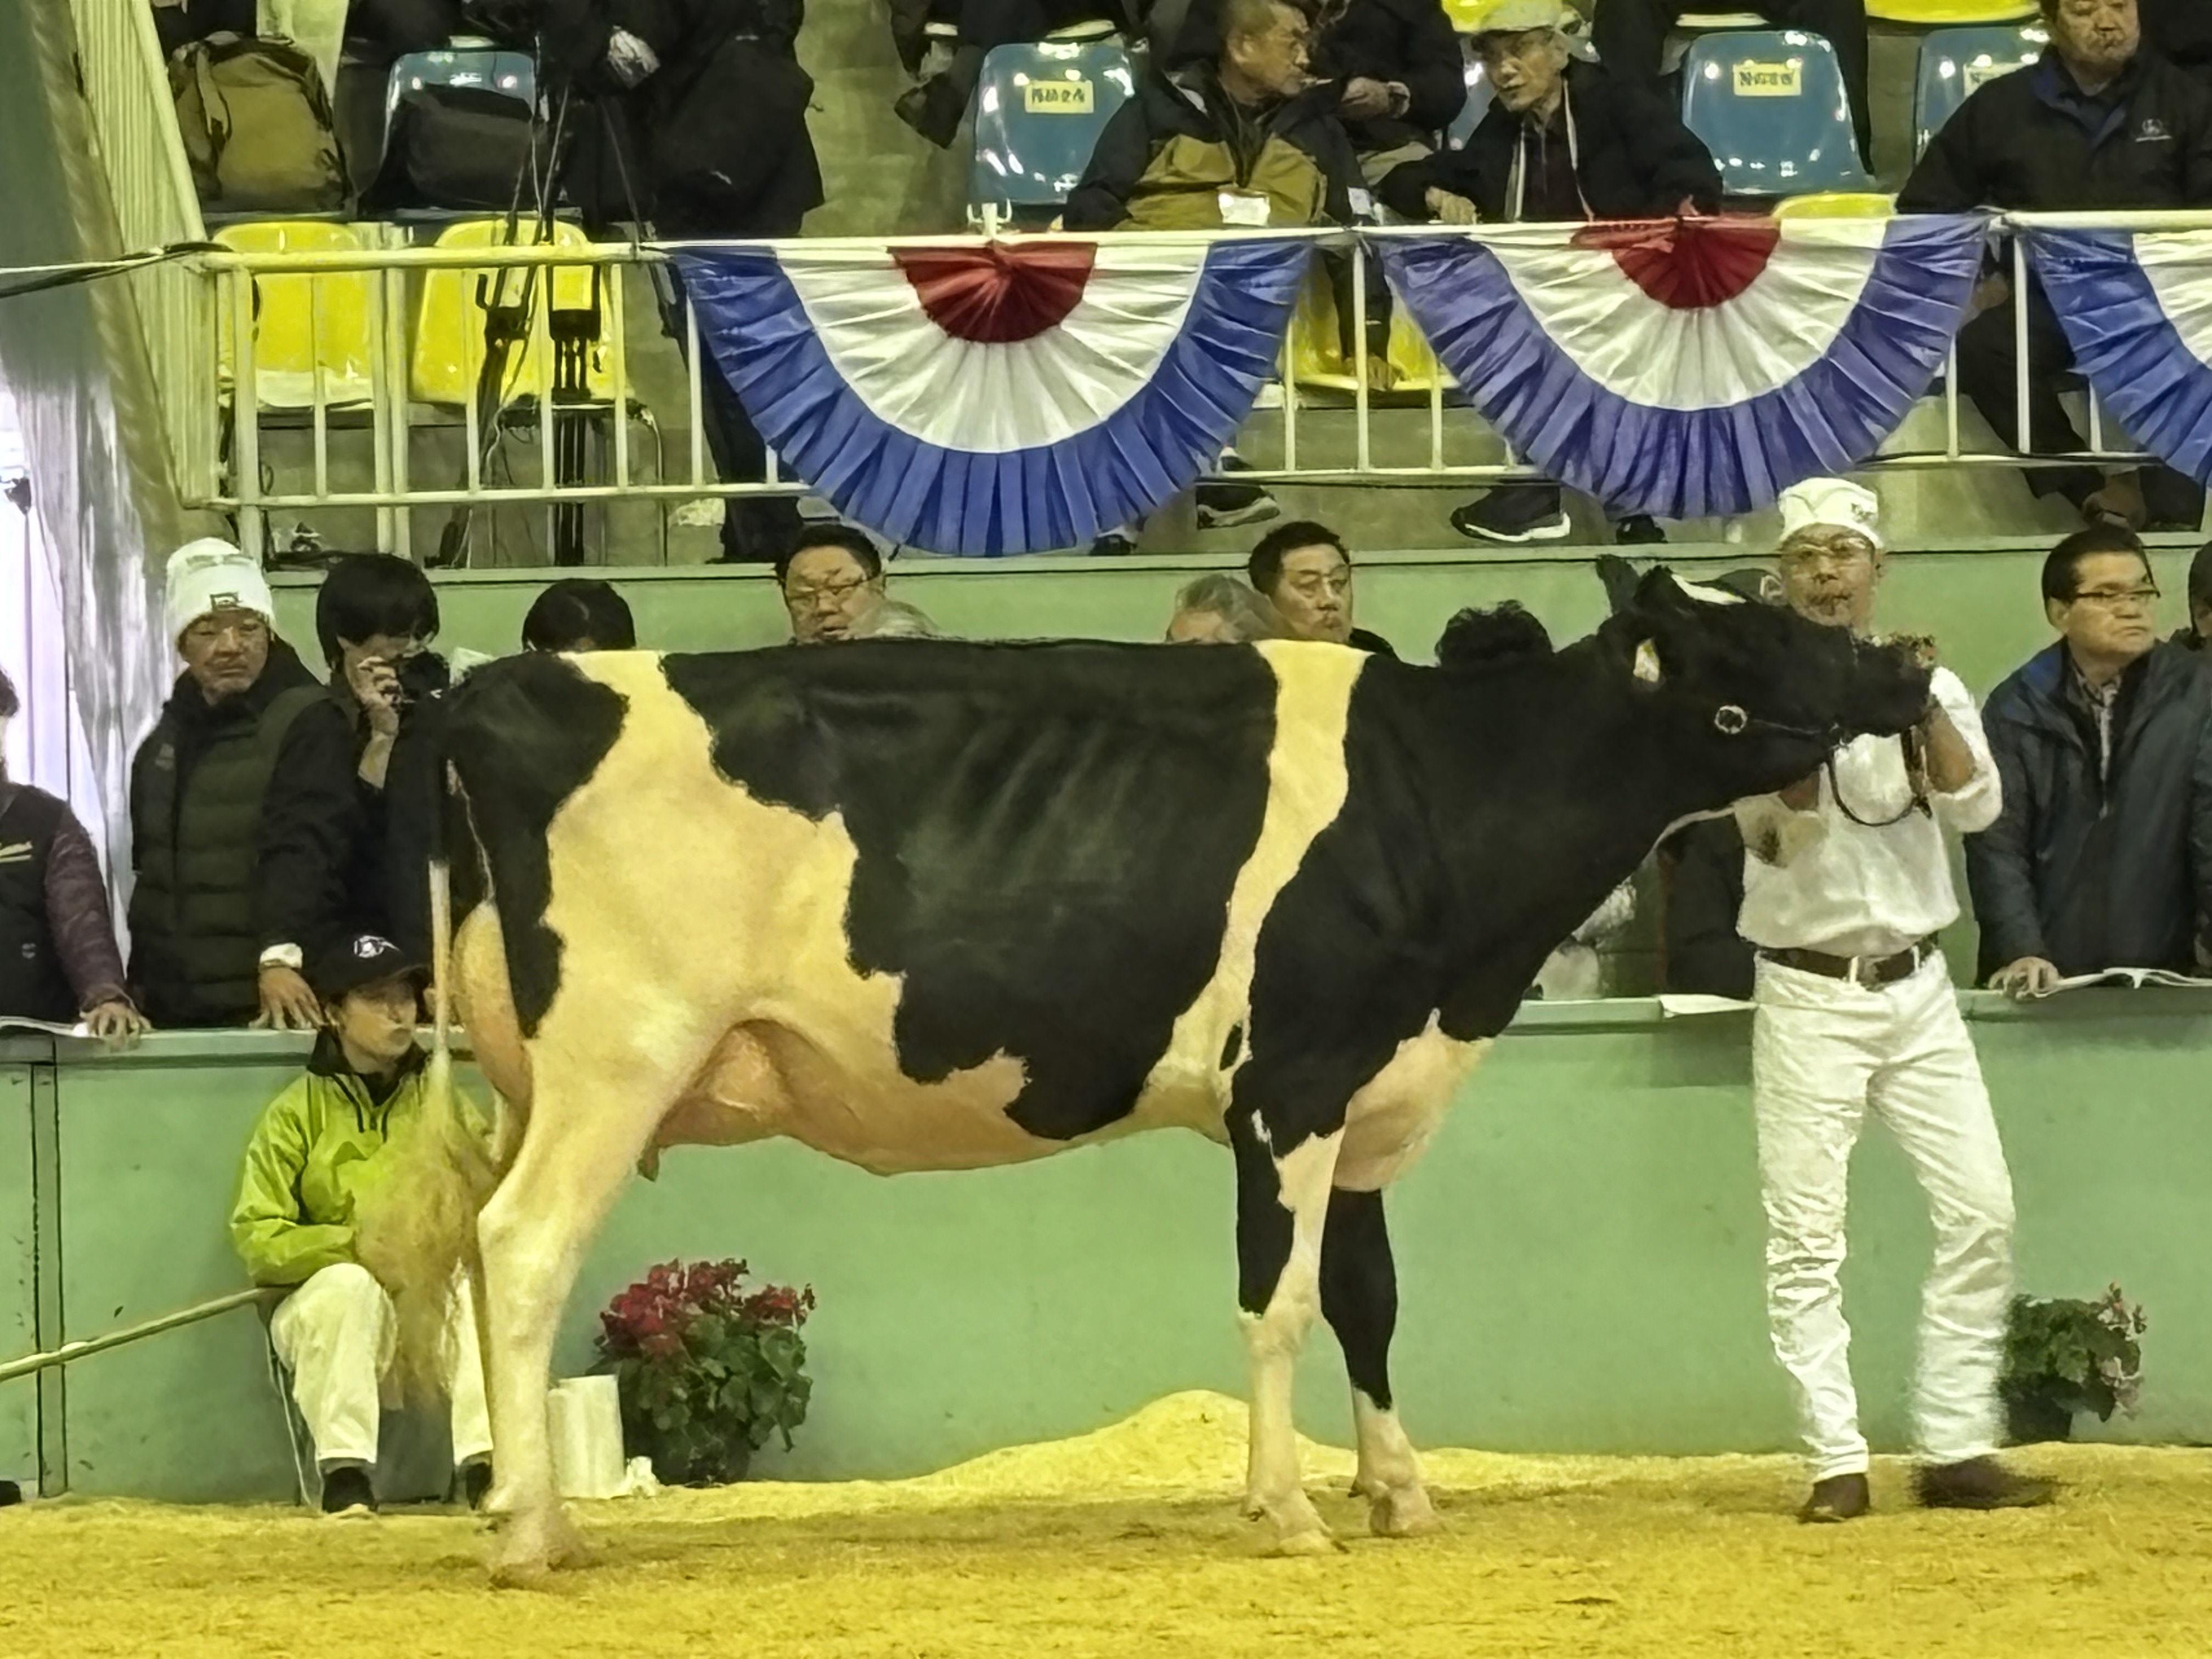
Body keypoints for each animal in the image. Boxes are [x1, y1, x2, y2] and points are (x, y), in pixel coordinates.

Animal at [368, 565, 1929, 1583]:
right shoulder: (1288, 1084)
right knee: (522, 1250)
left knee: (488, 1258)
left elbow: (1370, 1300)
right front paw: (1286, 1509)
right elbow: (1279, 1304)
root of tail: (493, 690)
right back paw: (529, 1536)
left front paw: (1399, 1492)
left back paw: (530, 1514)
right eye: (1766, 627)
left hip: (543, 1084)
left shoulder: (1365, 1087)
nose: (1910, 660)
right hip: (618, 1057)